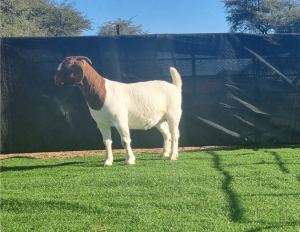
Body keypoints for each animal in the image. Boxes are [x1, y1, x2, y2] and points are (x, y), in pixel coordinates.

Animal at [54, 55, 183, 166]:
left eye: (68, 64)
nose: (55, 78)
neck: (103, 91)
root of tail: (175, 86)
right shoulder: (102, 124)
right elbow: (106, 142)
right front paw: (107, 162)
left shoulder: (120, 120)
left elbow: (125, 140)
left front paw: (129, 160)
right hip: (159, 119)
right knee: (167, 134)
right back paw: (164, 154)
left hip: (173, 114)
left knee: (174, 134)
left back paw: (172, 156)